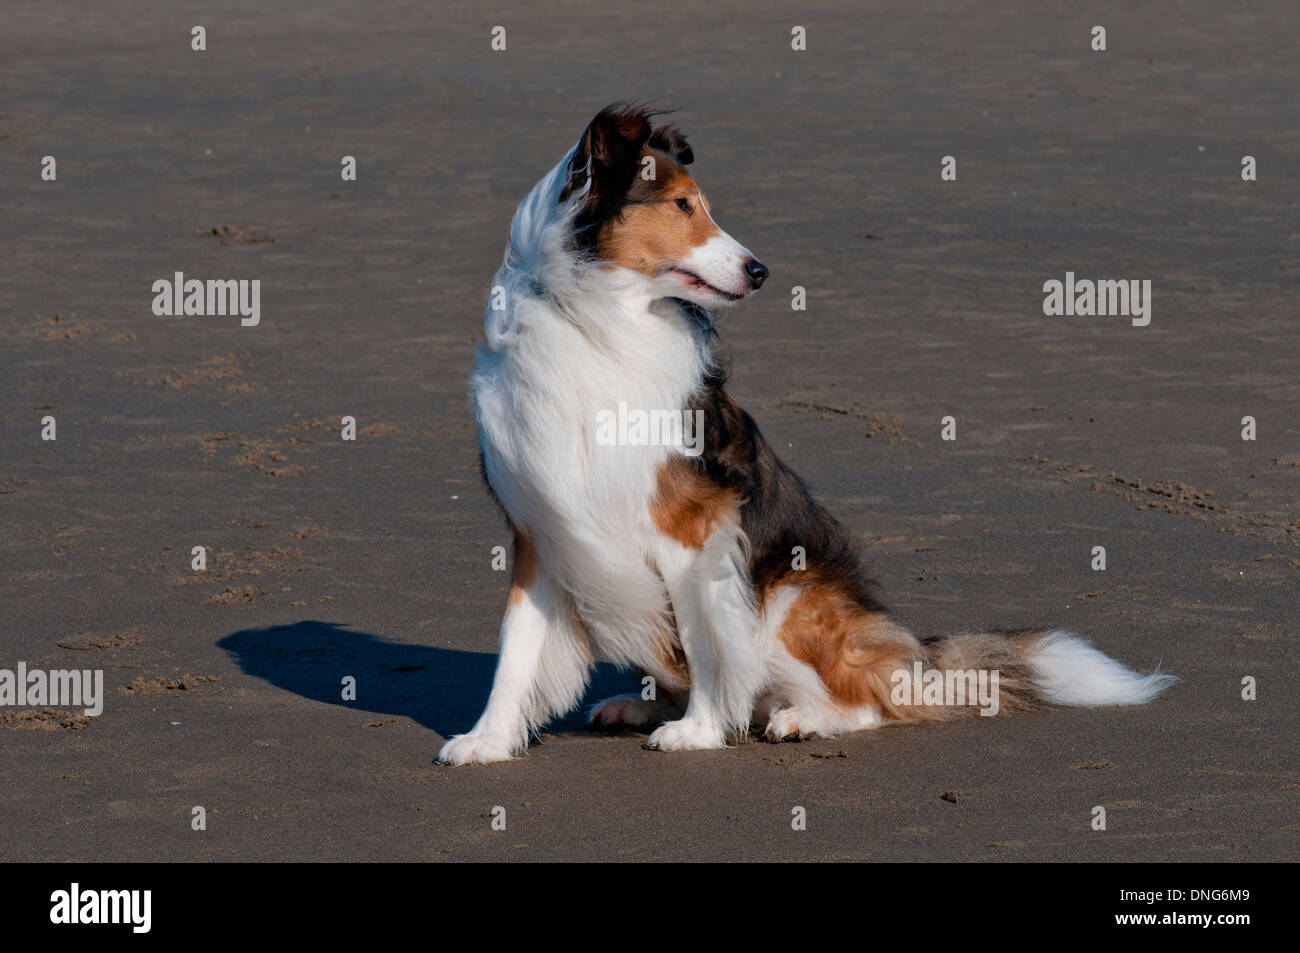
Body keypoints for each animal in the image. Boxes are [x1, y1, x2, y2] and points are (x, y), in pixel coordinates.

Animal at [436, 102, 1180, 764]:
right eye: (682, 205)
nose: (760, 271)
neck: (590, 319)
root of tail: (911, 651)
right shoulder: (544, 527)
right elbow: (516, 650)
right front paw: (487, 741)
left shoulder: (695, 532)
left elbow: (708, 641)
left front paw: (699, 731)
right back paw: (643, 704)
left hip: (792, 595)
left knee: (871, 701)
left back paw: (800, 719)